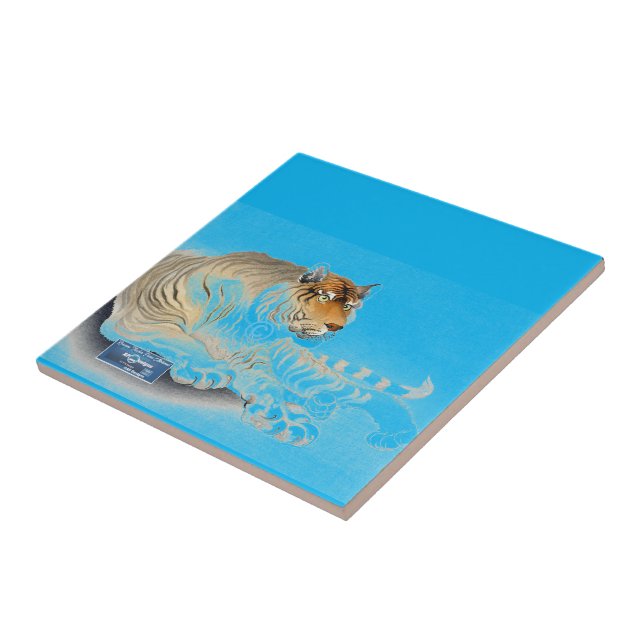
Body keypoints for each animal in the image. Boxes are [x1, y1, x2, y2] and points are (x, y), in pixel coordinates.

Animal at [100, 250, 433, 448]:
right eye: (324, 297)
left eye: (349, 307)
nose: (336, 327)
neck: (256, 320)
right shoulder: (142, 319)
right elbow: (184, 340)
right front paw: (209, 370)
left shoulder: (252, 358)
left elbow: (268, 386)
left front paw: (285, 420)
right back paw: (319, 405)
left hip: (300, 370)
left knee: (371, 396)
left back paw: (392, 432)